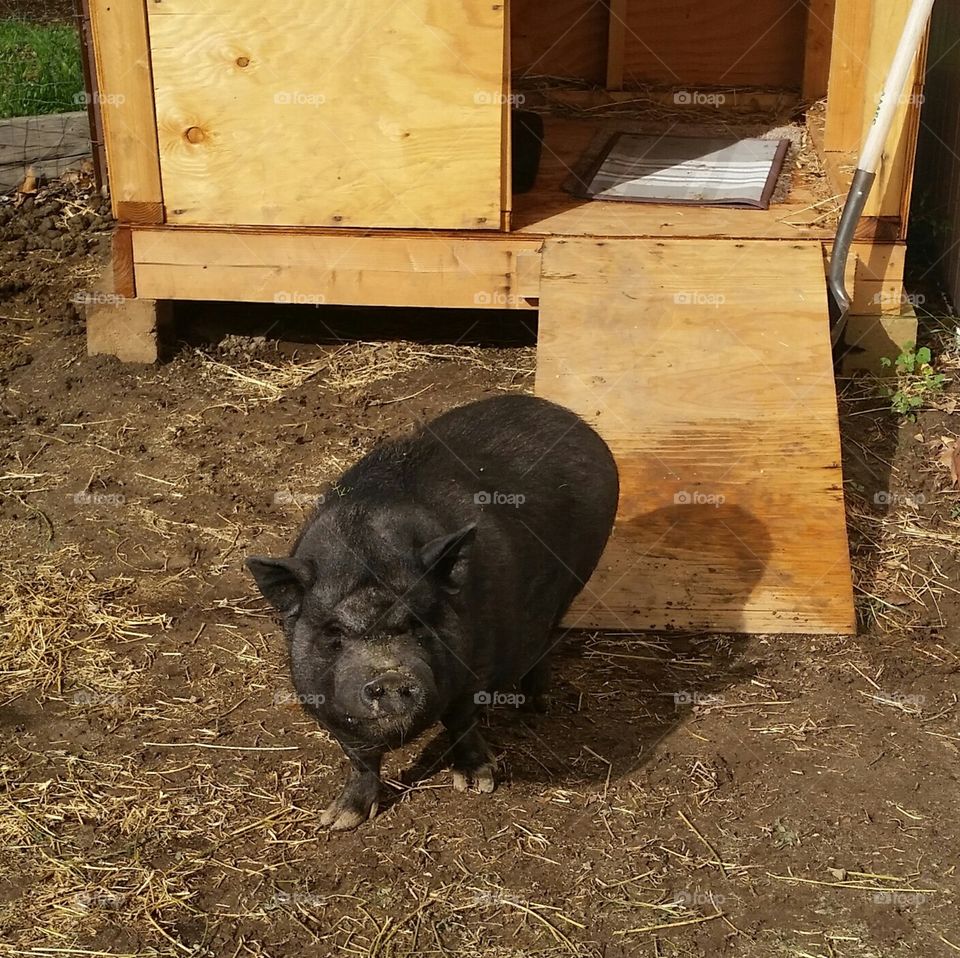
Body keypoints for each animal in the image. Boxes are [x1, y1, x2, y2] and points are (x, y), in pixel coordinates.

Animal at [246, 394, 619, 829]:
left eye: (418, 623)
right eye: (334, 634)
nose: (389, 676)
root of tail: (564, 414)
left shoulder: (477, 664)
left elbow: (461, 722)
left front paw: (477, 784)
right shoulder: (324, 703)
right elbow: (360, 759)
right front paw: (339, 820)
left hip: (577, 578)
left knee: (546, 638)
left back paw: (535, 704)